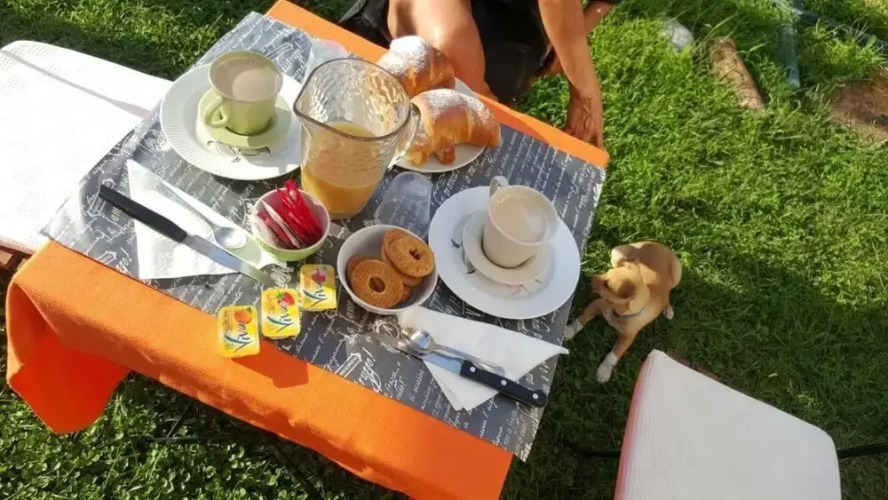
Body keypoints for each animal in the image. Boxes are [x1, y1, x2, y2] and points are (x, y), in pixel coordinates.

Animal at [564, 242, 681, 383]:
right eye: (605, 274)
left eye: (607, 285)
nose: (588, 278)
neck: (618, 312)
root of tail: (658, 244)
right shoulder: (597, 304)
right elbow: (582, 318)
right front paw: (569, 330)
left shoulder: (627, 338)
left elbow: (615, 353)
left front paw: (604, 370)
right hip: (616, 254)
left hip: (677, 274)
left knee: (668, 292)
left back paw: (668, 309)